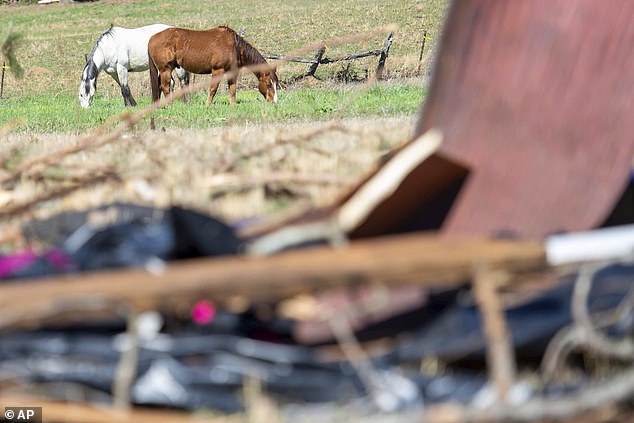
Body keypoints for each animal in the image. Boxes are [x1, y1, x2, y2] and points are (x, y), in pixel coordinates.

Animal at [149, 25, 278, 106]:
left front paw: (233, 105)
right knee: (165, 87)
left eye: (277, 84)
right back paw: (170, 106)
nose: (274, 102)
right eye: (268, 84)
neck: (234, 46)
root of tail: (151, 39)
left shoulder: (232, 72)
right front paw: (207, 105)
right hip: (165, 69)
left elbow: (232, 89)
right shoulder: (217, 70)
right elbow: (213, 89)